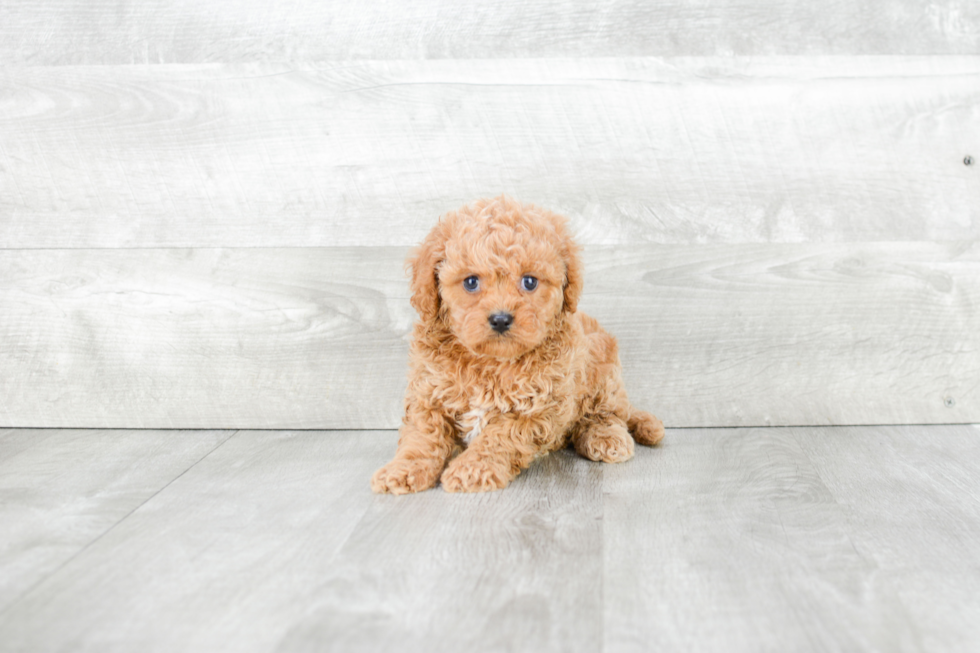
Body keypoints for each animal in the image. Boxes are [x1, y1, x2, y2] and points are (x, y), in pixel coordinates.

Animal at [372, 196, 664, 492]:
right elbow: (422, 436)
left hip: (603, 367)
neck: (490, 362)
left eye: (529, 281)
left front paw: (471, 469)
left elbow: (499, 436)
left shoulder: (538, 409)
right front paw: (403, 469)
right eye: (470, 282)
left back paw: (605, 437)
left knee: (607, 412)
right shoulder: (428, 393)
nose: (501, 319)